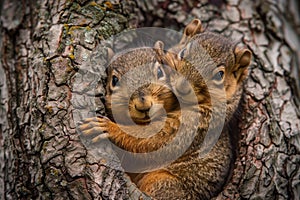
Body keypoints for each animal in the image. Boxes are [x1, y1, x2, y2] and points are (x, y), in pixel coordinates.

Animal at [78, 19, 252, 200]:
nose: (143, 105)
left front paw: (107, 127)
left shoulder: (196, 125)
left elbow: (153, 140)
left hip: (164, 183)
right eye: (183, 53)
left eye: (219, 75)